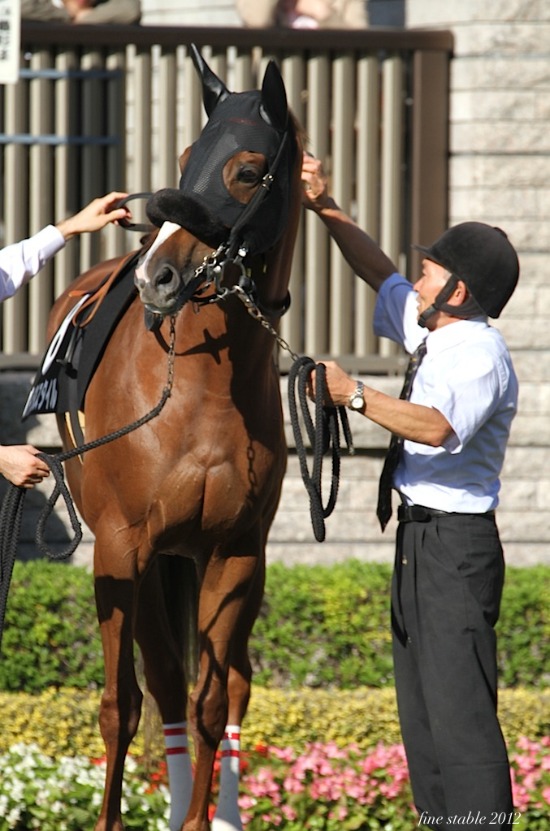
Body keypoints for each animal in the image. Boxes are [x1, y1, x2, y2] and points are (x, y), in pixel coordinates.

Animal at [48, 47, 302, 831]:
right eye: (188, 157)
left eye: (247, 170)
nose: (156, 275)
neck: (200, 392)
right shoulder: (121, 548)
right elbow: (121, 704)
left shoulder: (236, 552)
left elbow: (212, 701)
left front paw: (200, 817)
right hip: (149, 560)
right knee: (155, 683)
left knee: (230, 681)